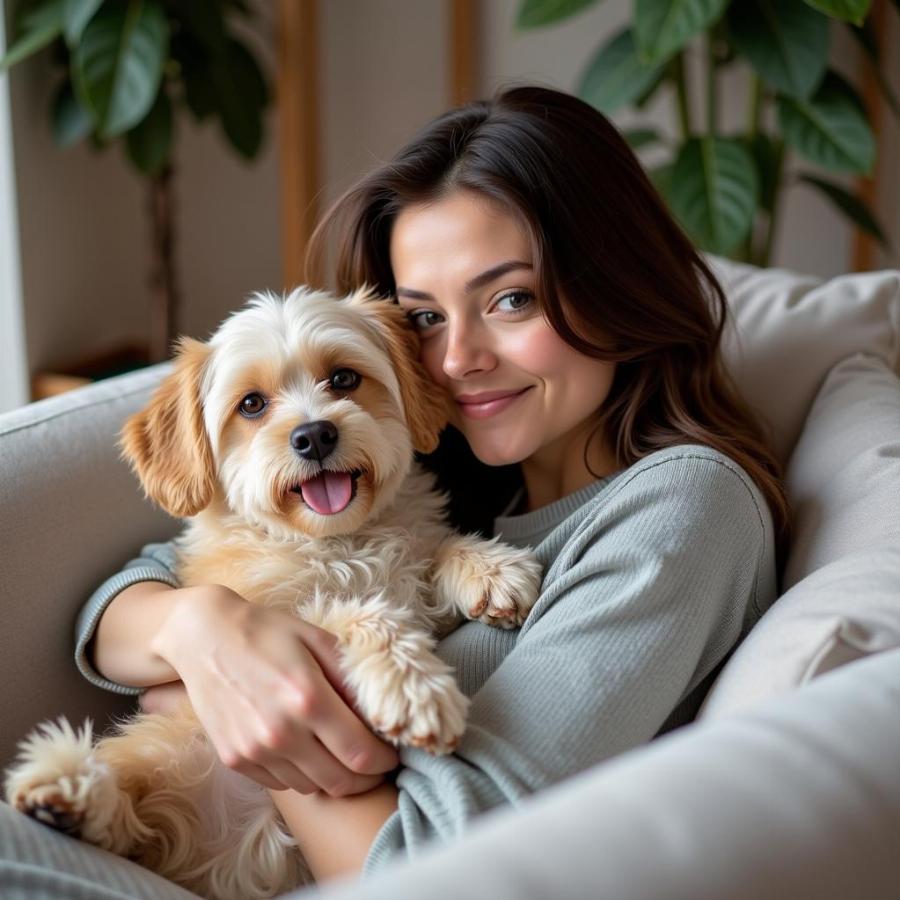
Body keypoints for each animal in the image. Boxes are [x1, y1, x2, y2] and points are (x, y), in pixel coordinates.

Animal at [3, 286, 540, 900]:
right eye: (252, 405)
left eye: (344, 379)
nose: (314, 435)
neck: (337, 543)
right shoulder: (279, 619)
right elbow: (358, 612)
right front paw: (411, 686)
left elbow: (436, 551)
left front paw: (491, 568)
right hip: (165, 751)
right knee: (123, 809)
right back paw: (68, 793)